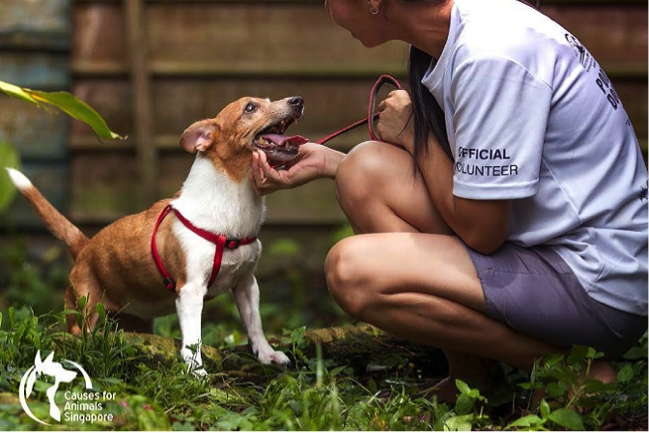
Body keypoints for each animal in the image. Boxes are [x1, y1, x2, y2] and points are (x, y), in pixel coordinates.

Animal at [5, 96, 308, 372]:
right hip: (83, 315)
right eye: (250, 107)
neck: (233, 203)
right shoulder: (191, 291)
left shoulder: (246, 284)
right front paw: (196, 371)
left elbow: (255, 324)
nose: (298, 100)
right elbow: (193, 339)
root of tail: (84, 247)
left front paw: (267, 355)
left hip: (135, 322)